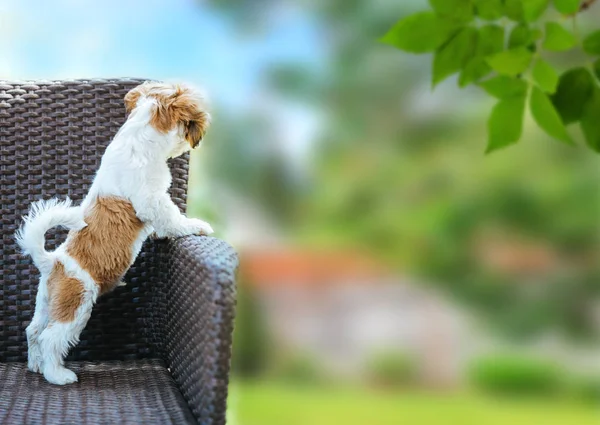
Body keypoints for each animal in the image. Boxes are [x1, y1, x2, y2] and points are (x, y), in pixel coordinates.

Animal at [15, 80, 216, 384]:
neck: (140, 138)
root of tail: (54, 261)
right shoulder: (152, 199)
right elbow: (172, 218)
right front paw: (195, 225)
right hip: (76, 304)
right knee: (51, 338)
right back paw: (57, 375)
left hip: (47, 304)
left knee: (34, 331)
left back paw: (36, 366)